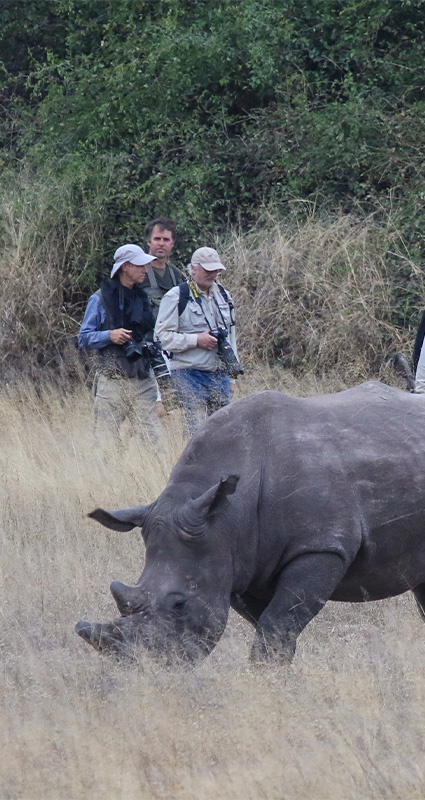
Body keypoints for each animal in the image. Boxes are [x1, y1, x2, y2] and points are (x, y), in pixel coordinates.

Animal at [76, 381, 425, 663]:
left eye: (180, 604)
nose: (147, 668)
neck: (226, 518)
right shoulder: (239, 562)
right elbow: (272, 628)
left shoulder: (321, 546)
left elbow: (276, 625)